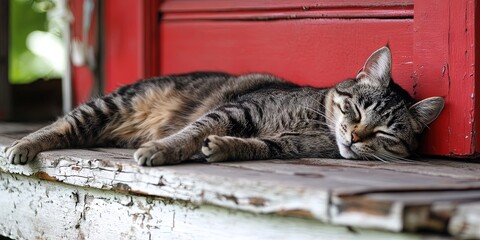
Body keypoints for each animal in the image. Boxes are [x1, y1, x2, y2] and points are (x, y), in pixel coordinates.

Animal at [3, 46, 446, 167]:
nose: (354, 137)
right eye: (355, 111)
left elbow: (254, 146)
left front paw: (221, 147)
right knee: (64, 123)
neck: (316, 125)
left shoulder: (281, 144)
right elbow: (192, 131)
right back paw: (23, 145)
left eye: (385, 132)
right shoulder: (238, 111)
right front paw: (162, 150)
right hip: (112, 104)